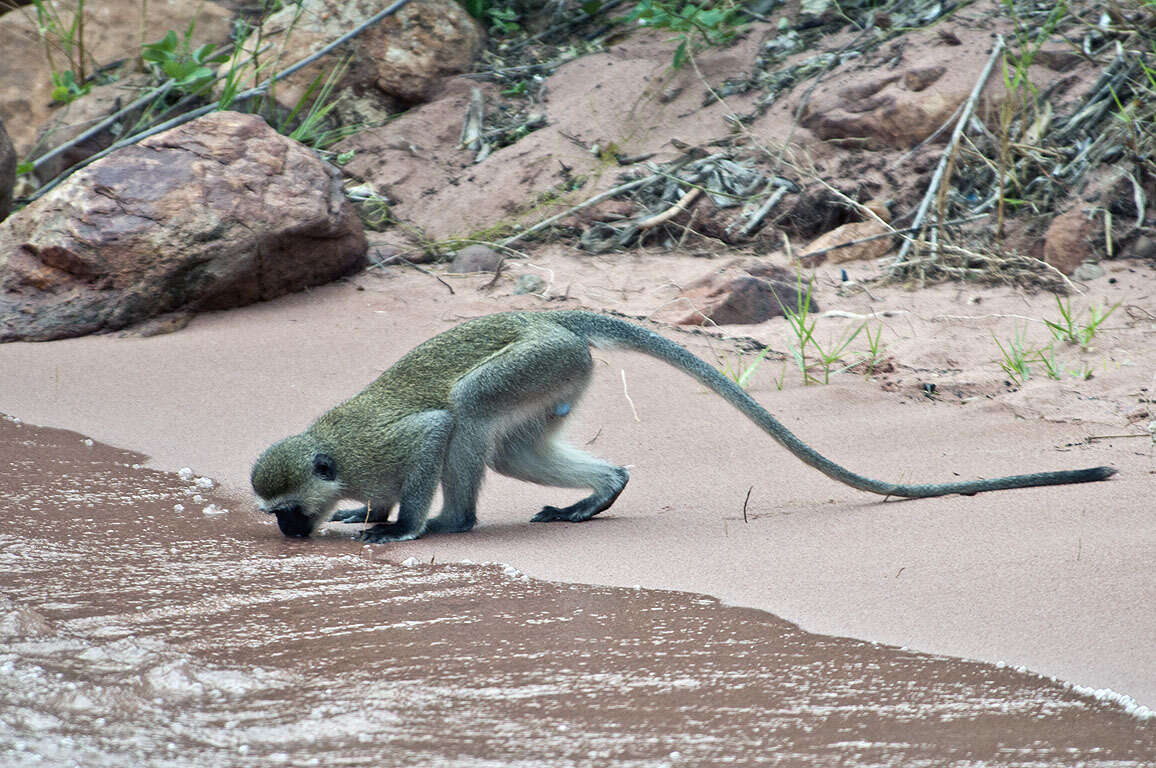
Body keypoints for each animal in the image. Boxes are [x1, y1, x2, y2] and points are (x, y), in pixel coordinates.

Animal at [248, 309, 1114, 538]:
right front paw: (372, 515)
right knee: (515, 448)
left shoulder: (387, 447)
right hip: (557, 377)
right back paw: (603, 489)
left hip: (536, 362)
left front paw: (400, 526)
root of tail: (550, 316)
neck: (335, 457)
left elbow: (432, 429)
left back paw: (455, 523)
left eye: (286, 509)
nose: (288, 534)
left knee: (465, 411)